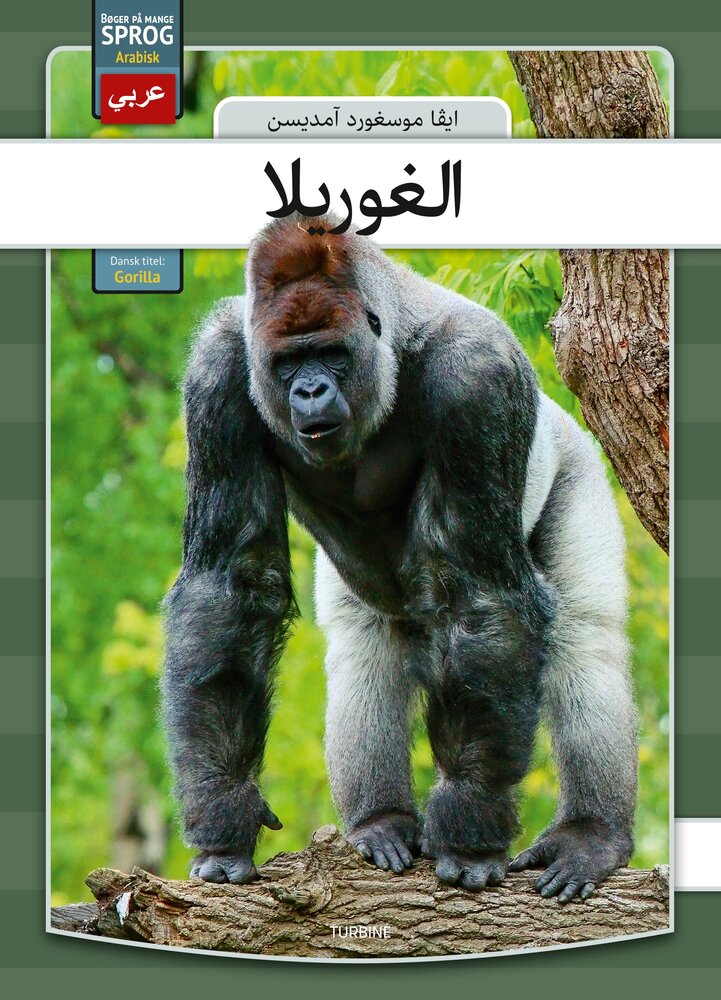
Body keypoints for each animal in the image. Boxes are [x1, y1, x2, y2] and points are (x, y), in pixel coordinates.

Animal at [161, 217, 638, 903]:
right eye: (287, 363)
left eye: (331, 353)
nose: (309, 390)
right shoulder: (218, 372)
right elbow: (229, 586)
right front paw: (224, 814)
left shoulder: (478, 377)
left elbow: (479, 595)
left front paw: (469, 829)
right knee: (364, 648)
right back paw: (379, 822)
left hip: (573, 456)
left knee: (585, 638)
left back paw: (590, 835)